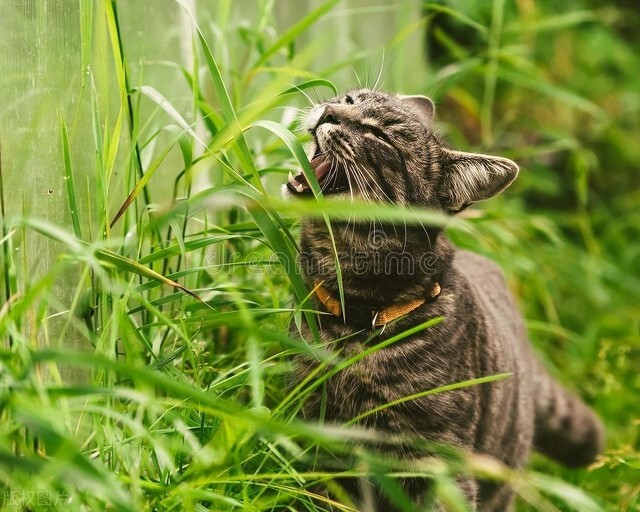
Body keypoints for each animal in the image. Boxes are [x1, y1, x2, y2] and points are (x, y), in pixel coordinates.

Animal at [282, 90, 604, 510]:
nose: (330, 112)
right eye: (350, 98)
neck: (358, 319)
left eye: (380, 136)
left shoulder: (436, 463)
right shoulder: (313, 436)